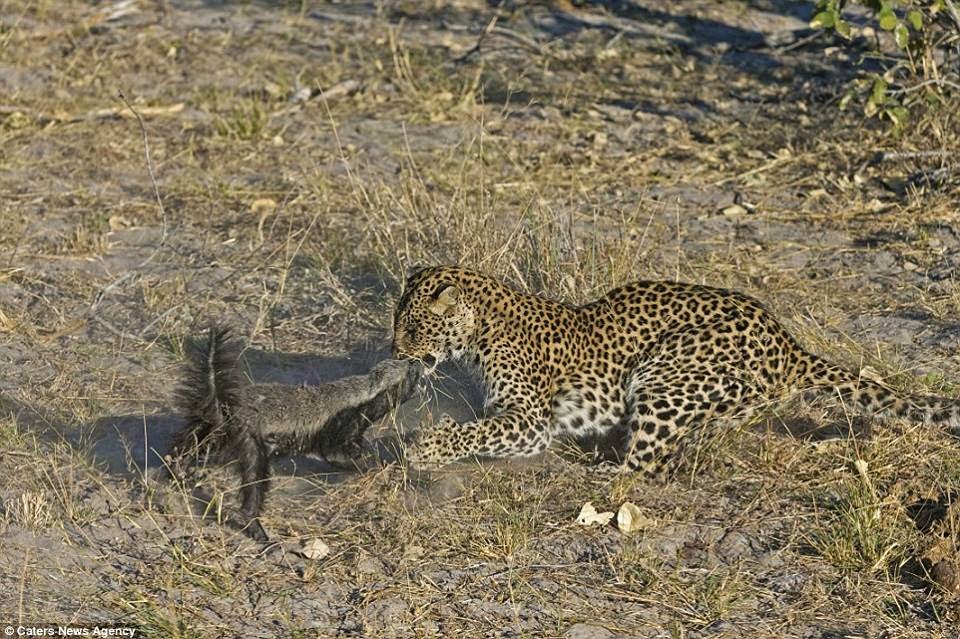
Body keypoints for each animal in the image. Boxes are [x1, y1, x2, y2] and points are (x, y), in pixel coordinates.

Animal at [392, 265, 960, 472]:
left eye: (414, 328)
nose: (395, 353)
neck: (479, 329)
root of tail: (788, 342)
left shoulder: (530, 420)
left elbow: (475, 431)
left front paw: (426, 449)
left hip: (664, 375)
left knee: (644, 468)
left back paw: (596, 468)